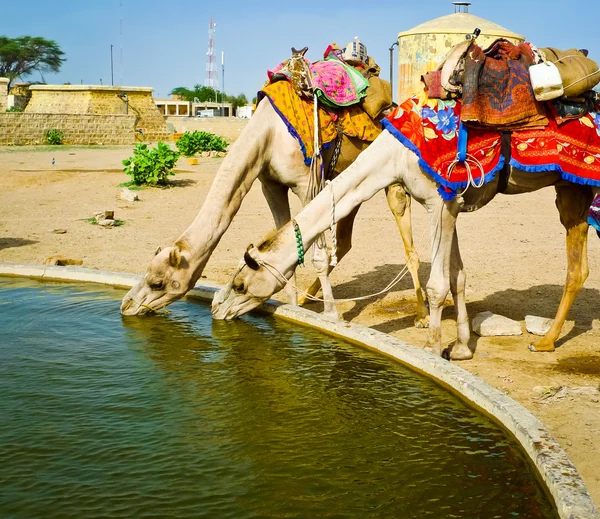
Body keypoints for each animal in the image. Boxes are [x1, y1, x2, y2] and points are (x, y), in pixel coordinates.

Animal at [119, 96, 428, 324]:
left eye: (157, 282)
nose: (126, 305)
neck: (267, 134)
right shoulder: (270, 184)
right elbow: (286, 244)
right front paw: (292, 306)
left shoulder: (307, 183)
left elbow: (316, 255)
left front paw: (330, 315)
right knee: (344, 241)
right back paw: (306, 298)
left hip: (391, 177)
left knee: (407, 243)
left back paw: (422, 315)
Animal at [211, 129, 596, 362]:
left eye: (241, 283)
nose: (216, 308)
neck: (393, 156)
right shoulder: (452, 203)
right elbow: (458, 276)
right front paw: (460, 348)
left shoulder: (439, 202)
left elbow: (438, 284)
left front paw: (431, 350)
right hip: (573, 188)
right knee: (579, 266)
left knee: (577, 267)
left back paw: (544, 342)